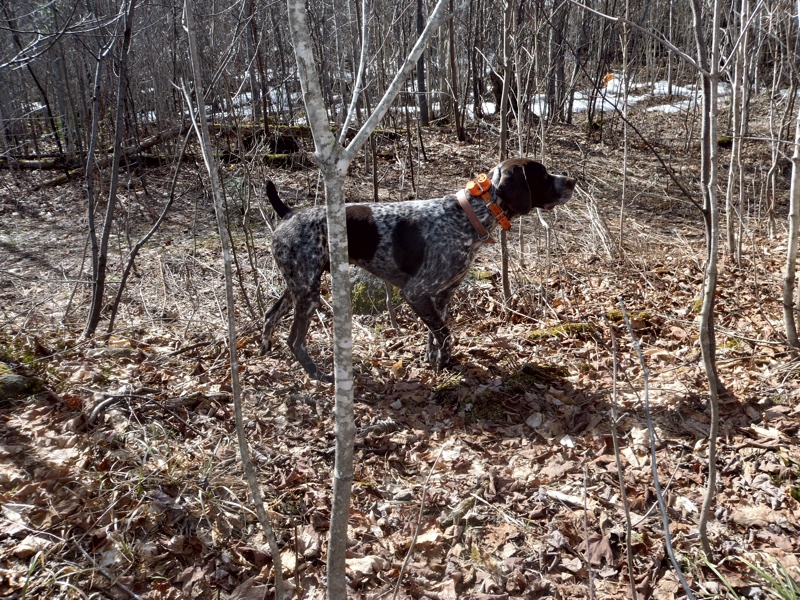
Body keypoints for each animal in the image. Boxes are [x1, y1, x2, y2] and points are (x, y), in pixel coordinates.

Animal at [262, 157, 576, 382]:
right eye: (543, 174)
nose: (572, 180)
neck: (469, 215)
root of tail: (289, 213)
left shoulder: (441, 295)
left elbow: (435, 333)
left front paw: (433, 361)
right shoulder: (416, 292)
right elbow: (446, 335)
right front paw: (444, 363)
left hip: (298, 285)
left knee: (270, 315)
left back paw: (264, 351)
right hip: (308, 292)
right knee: (295, 340)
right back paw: (317, 374)